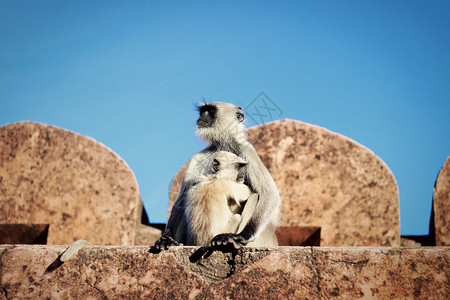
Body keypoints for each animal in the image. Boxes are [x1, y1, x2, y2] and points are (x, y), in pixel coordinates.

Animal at [156, 102, 282, 250]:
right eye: (202, 112)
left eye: (211, 111)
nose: (201, 117)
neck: (224, 144)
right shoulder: (199, 157)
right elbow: (181, 198)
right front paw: (166, 238)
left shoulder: (247, 151)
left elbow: (269, 194)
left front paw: (242, 236)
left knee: (256, 195)